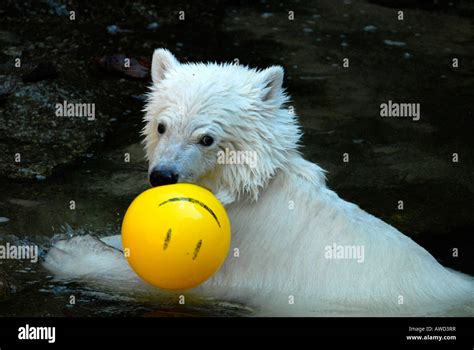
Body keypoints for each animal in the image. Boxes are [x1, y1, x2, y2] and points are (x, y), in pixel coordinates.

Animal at [42, 50, 472, 318]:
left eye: (207, 138)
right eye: (161, 125)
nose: (162, 175)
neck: (250, 188)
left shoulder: (245, 247)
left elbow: (180, 282)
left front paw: (66, 251)